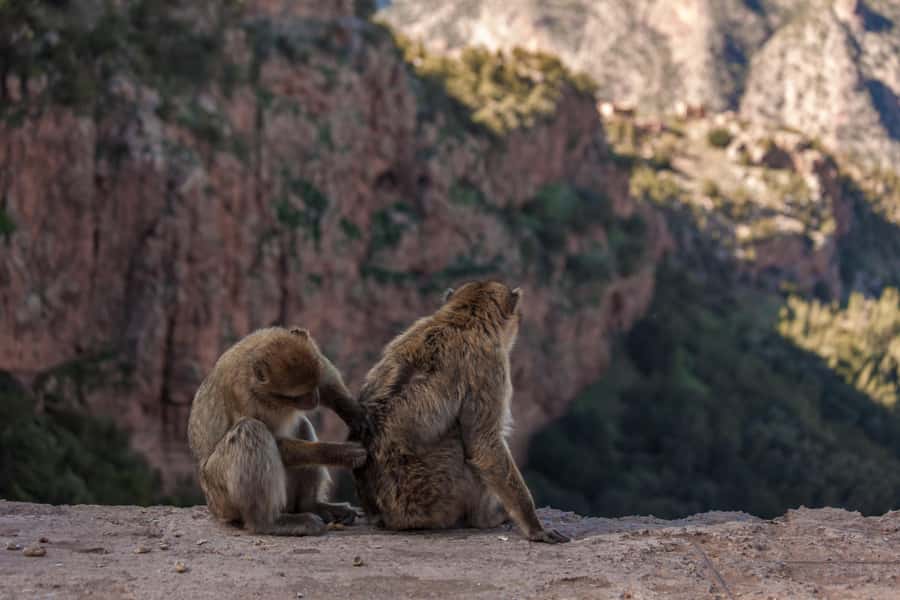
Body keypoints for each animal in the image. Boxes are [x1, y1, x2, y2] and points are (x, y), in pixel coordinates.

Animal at [188, 326, 368, 536]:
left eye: (314, 385)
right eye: (295, 396)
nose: (314, 399)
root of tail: (213, 507)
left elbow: (326, 375)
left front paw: (353, 412)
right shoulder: (244, 396)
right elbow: (275, 441)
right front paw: (340, 452)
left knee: (301, 426)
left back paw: (311, 506)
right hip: (220, 496)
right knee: (251, 430)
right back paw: (267, 522)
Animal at [351, 280, 570, 543]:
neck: (461, 320)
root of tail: (385, 518)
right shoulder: (489, 365)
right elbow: (484, 444)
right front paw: (534, 527)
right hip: (433, 496)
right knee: (461, 442)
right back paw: (484, 518)